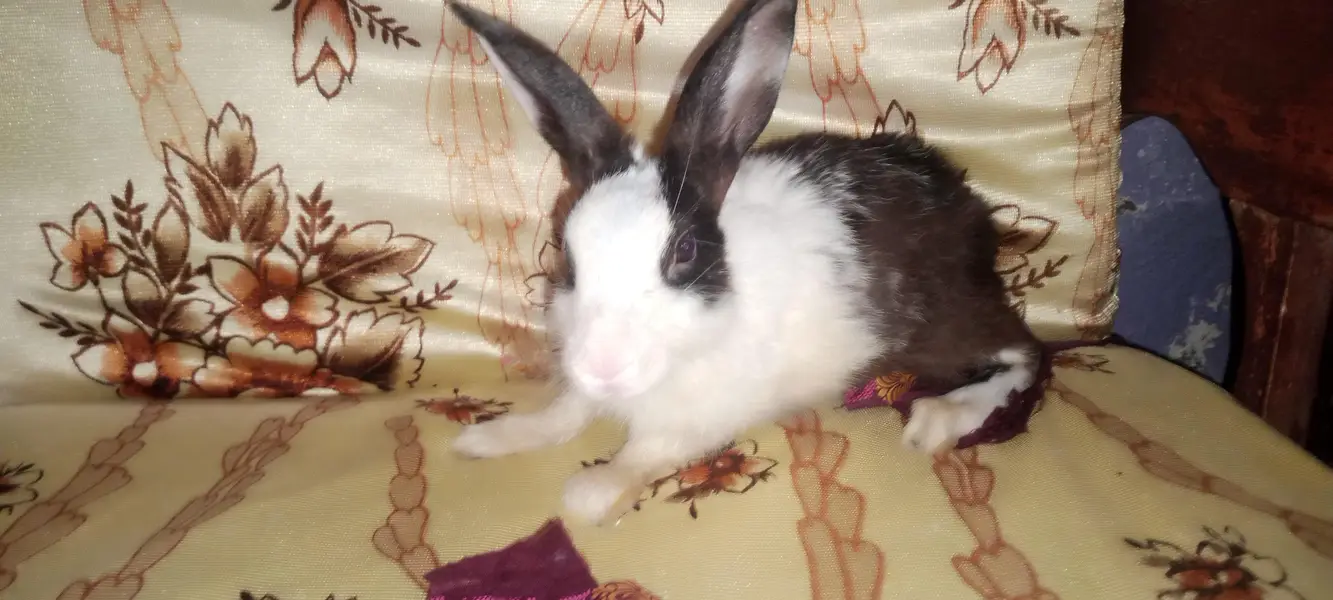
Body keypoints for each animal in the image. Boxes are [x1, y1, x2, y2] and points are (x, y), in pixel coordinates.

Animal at [448, 0, 1042, 525]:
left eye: (684, 252)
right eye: (567, 252)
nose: (603, 367)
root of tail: (967, 203)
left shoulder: (699, 419)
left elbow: (644, 452)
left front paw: (593, 490)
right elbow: (564, 414)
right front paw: (489, 437)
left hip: (949, 322)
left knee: (1028, 356)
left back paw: (938, 419)